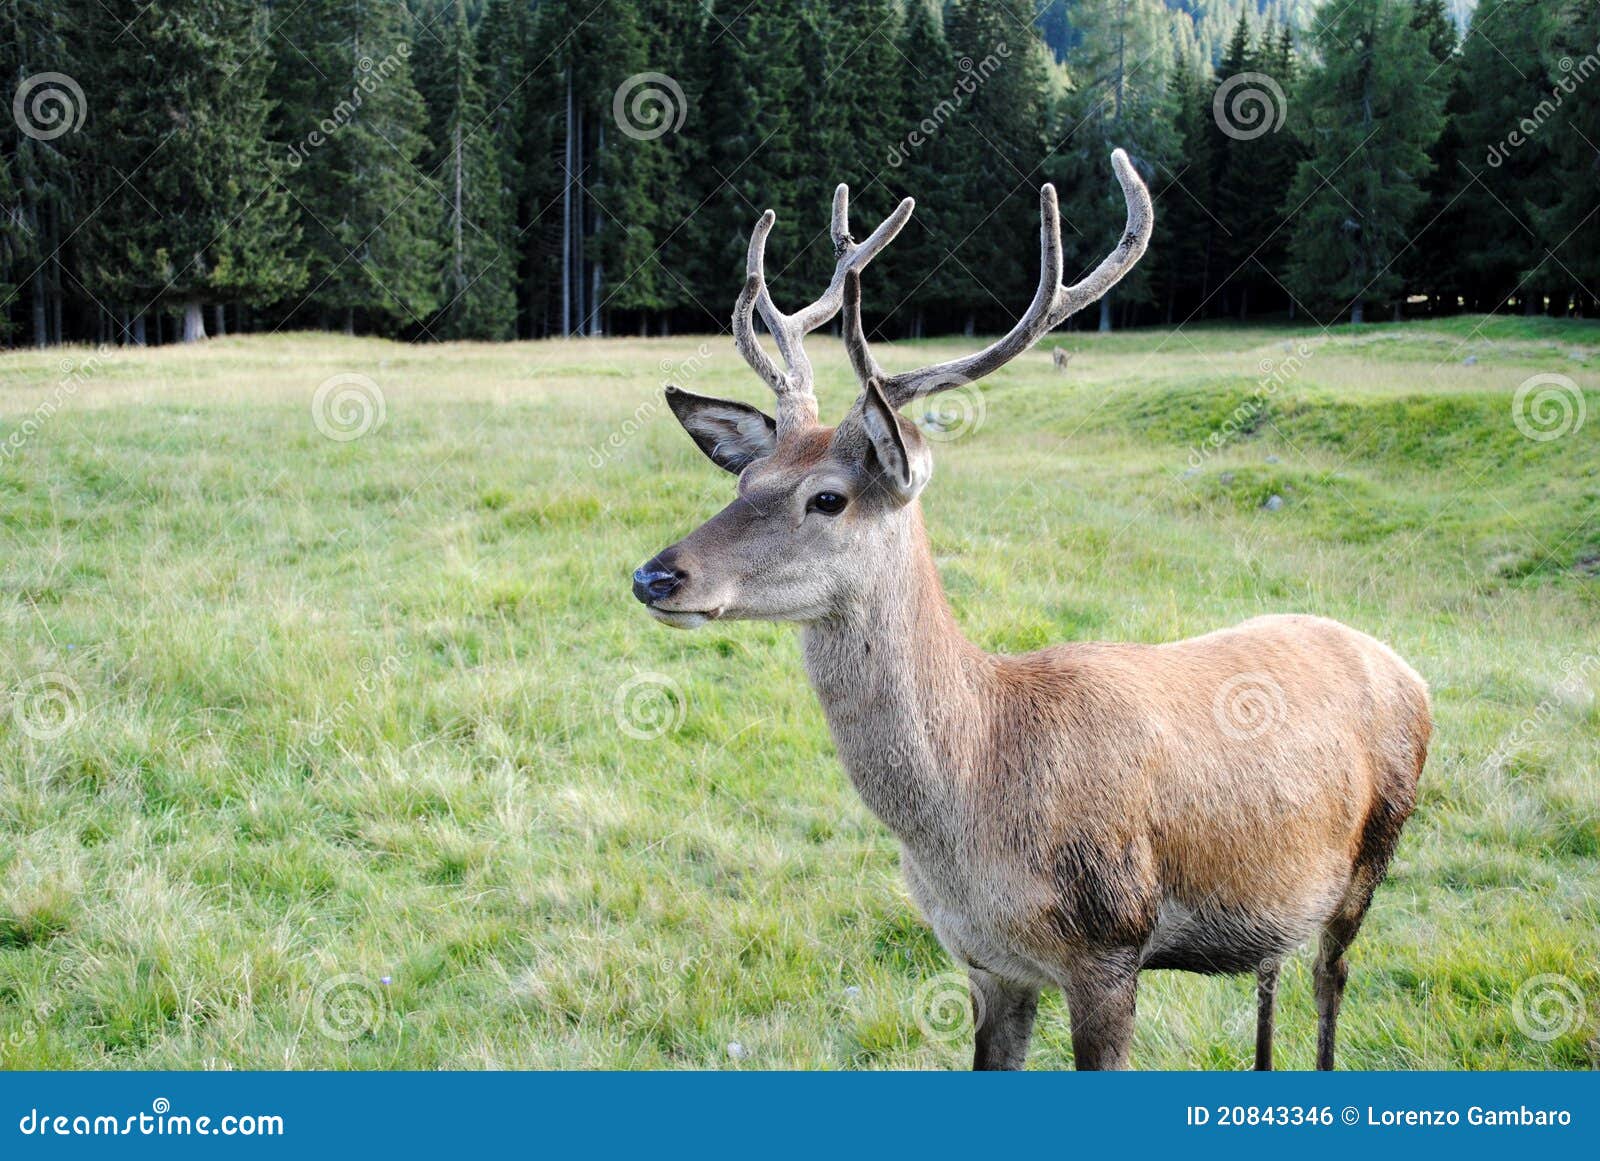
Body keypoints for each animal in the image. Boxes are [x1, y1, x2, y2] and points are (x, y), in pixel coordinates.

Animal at [630, 151, 1431, 1071]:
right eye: (745, 481)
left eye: (827, 497)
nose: (656, 575)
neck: (973, 809)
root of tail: (1409, 671)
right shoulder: (985, 961)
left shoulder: (1111, 945)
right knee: (1273, 969)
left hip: (1374, 854)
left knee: (1331, 978)